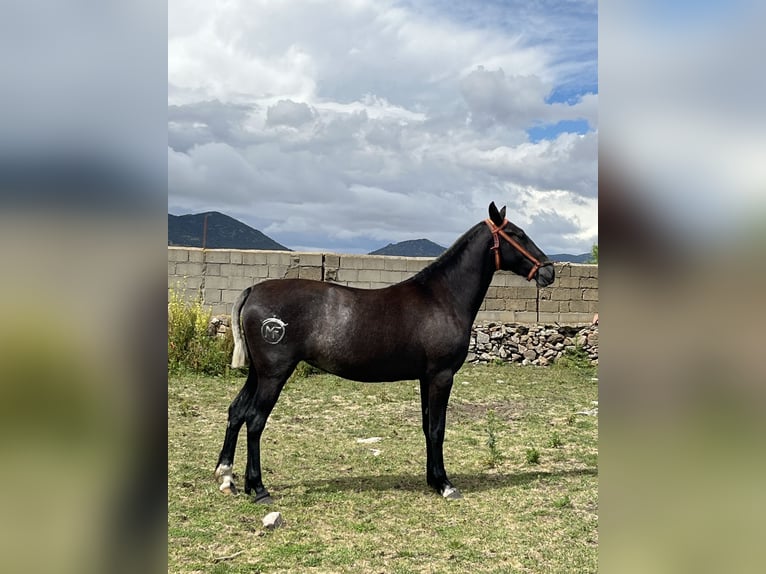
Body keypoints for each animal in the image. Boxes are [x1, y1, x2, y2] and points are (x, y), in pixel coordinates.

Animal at [213, 202, 556, 504]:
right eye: (517, 233)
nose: (549, 272)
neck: (442, 298)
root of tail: (253, 291)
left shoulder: (426, 378)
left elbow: (427, 426)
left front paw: (433, 480)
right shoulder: (442, 376)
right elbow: (437, 429)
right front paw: (445, 485)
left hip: (258, 373)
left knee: (237, 411)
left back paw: (228, 478)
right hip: (274, 374)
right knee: (255, 420)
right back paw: (258, 488)